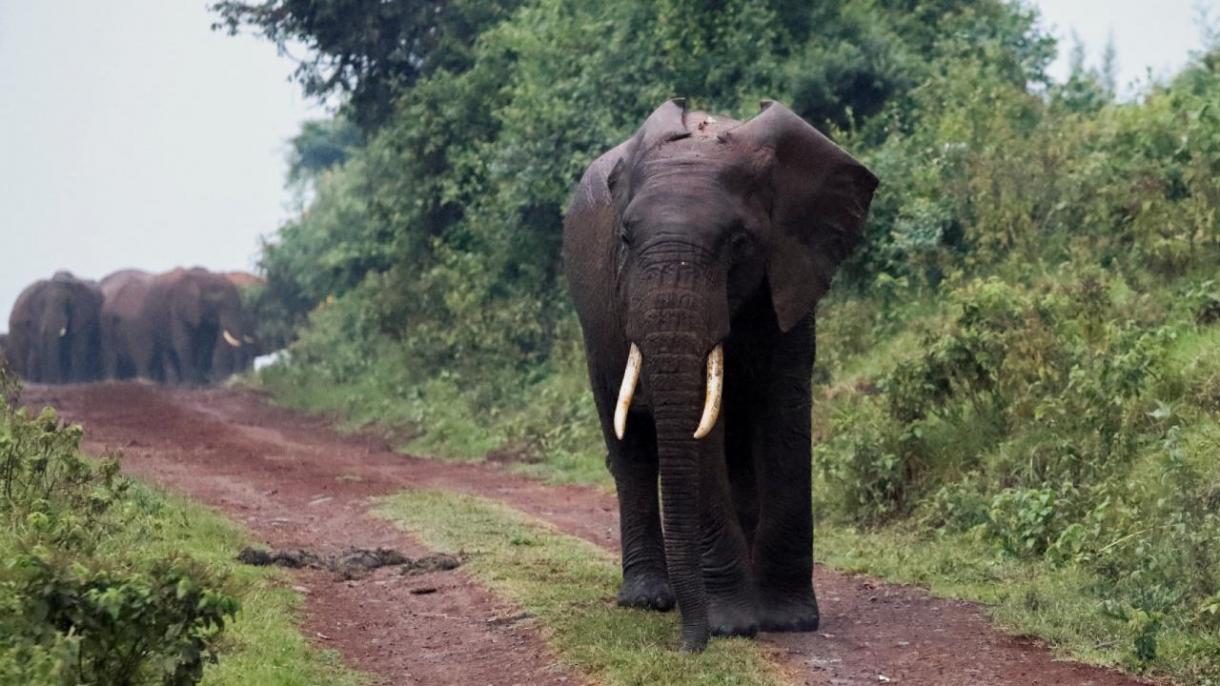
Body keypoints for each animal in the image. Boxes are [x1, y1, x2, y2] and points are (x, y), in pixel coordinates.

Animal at [561, 97, 878, 644]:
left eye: (739, 241)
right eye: (624, 237)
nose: (693, 645)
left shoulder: (790, 269)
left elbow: (784, 410)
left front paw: (789, 621)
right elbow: (699, 430)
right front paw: (732, 624)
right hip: (595, 326)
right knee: (629, 448)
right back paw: (650, 599)